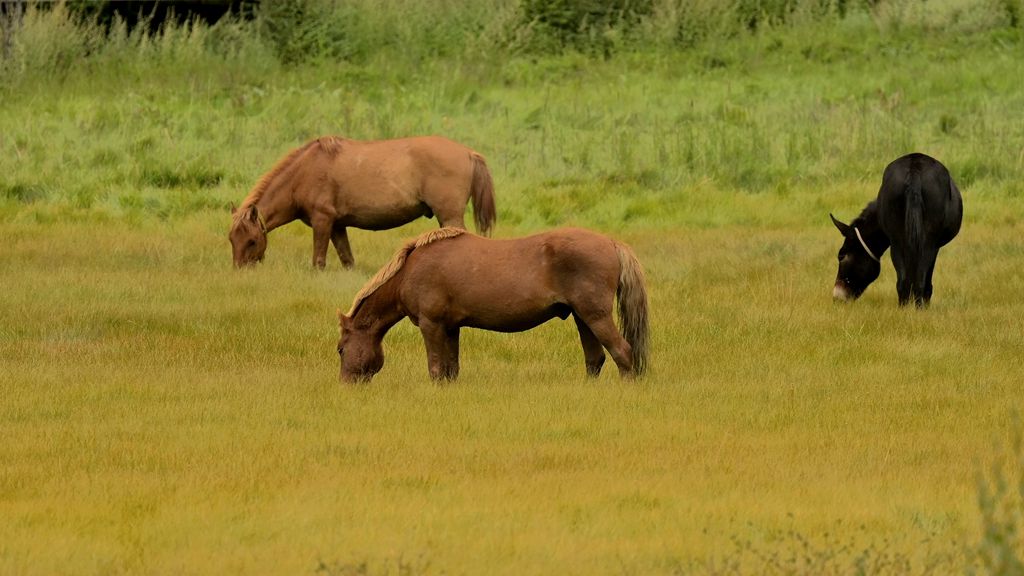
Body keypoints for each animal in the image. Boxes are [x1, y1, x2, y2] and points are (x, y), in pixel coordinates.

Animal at [227, 135, 495, 268]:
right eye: (232, 240)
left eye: (252, 241)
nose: (241, 269)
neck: (304, 172)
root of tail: (468, 152)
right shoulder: (337, 226)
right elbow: (347, 260)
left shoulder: (322, 221)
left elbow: (318, 261)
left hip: (449, 215)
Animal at [335, 225, 647, 381]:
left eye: (340, 349)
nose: (347, 384)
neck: (411, 269)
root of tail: (611, 243)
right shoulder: (450, 328)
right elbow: (451, 369)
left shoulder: (430, 325)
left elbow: (436, 369)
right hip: (583, 318)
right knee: (595, 359)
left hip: (596, 316)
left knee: (623, 352)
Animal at [827, 151, 962, 305]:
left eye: (841, 256)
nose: (836, 298)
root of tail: (914, 169)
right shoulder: (934, 247)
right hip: (924, 242)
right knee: (919, 281)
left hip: (898, 241)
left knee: (904, 282)